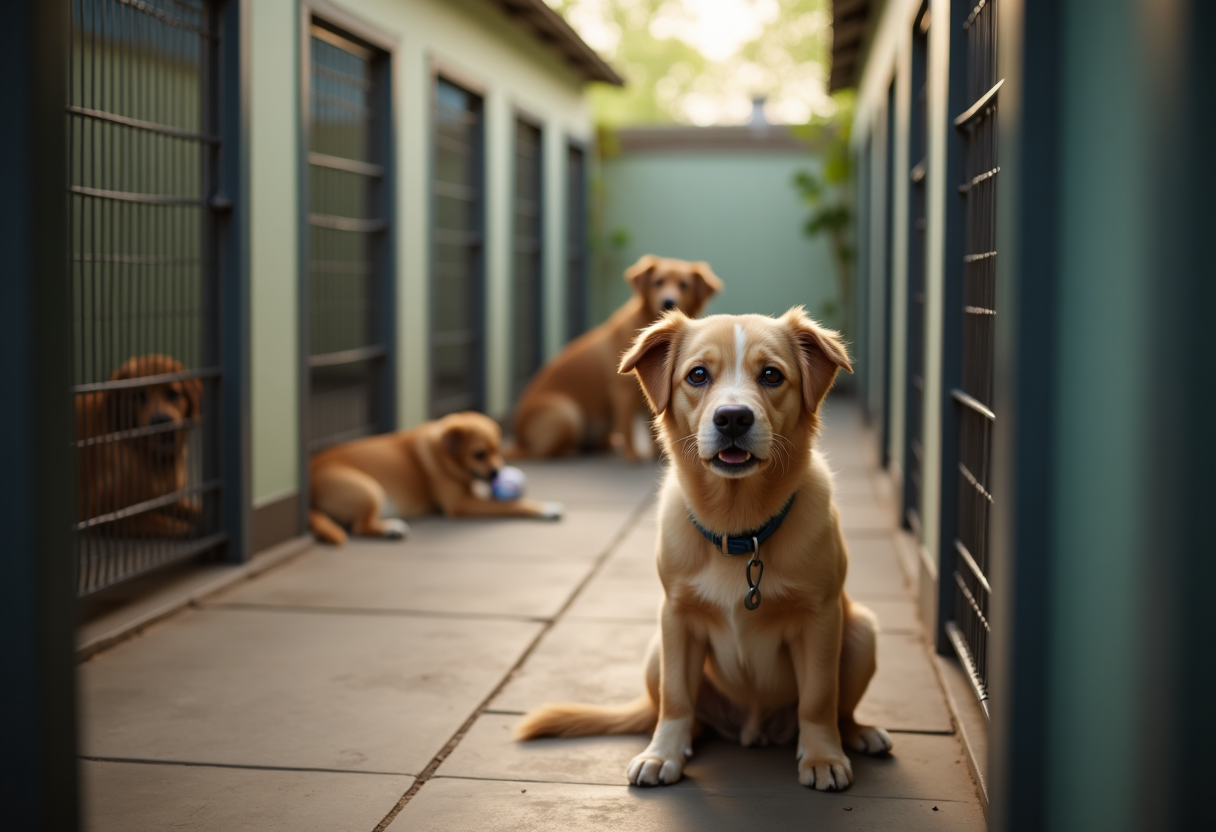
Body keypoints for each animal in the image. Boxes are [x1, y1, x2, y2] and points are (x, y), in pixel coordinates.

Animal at [77, 352, 204, 535]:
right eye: (138, 396)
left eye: (173, 394)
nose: (161, 420)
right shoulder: (102, 513)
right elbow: (168, 524)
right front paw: (189, 528)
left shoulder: (171, 499)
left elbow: (195, 510)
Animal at [308, 411, 564, 544]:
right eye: (479, 454)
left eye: (498, 450)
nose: (497, 473)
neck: (443, 451)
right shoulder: (460, 504)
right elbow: (514, 504)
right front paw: (547, 508)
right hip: (368, 488)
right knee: (360, 526)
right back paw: (390, 529)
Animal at [505, 253, 719, 462]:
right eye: (658, 282)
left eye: (684, 285)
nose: (668, 301)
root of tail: (519, 438)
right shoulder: (622, 391)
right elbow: (627, 426)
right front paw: (632, 456)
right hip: (566, 413)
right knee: (542, 451)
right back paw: (572, 450)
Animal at [515, 306, 894, 793]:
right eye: (697, 375)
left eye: (771, 375)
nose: (732, 418)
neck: (738, 527)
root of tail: (754, 728)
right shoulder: (676, 617)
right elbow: (677, 697)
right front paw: (662, 755)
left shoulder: (822, 617)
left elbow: (818, 698)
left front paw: (824, 757)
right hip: (655, 652)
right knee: (681, 711)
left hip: (862, 630)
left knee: (840, 709)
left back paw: (858, 735)